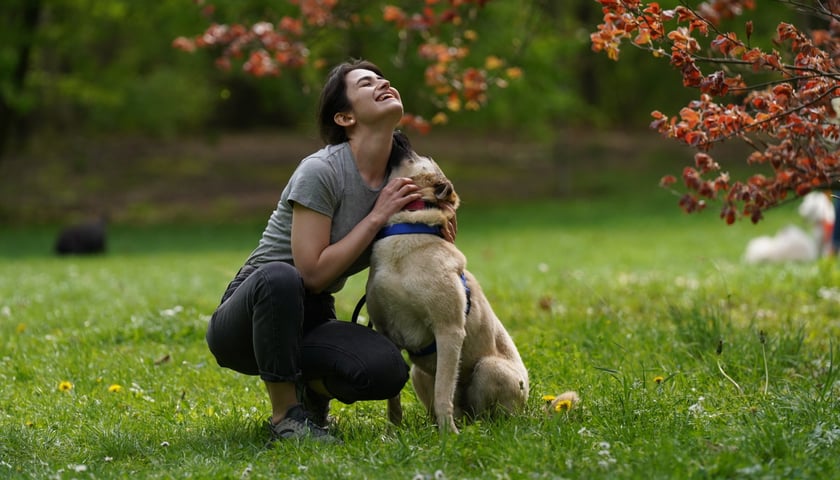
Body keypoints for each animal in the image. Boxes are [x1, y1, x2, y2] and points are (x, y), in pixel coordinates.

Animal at [364, 152, 528, 434]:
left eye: (415, 157)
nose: (400, 140)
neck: (407, 229)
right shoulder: (386, 331)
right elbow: (393, 399)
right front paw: (393, 432)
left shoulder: (448, 330)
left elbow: (443, 393)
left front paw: (448, 435)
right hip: (419, 373)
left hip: (489, 369)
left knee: (485, 415)